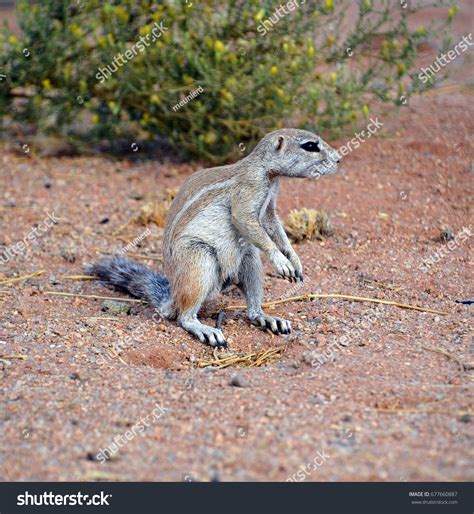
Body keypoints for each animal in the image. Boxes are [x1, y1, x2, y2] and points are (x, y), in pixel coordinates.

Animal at [88, 128, 340, 346]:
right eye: (310, 146)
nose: (338, 159)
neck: (266, 172)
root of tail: (173, 296)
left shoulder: (269, 208)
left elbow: (275, 228)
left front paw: (294, 259)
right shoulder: (248, 193)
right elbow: (246, 221)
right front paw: (281, 262)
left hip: (248, 258)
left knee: (251, 307)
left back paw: (266, 318)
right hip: (199, 261)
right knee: (184, 317)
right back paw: (206, 330)